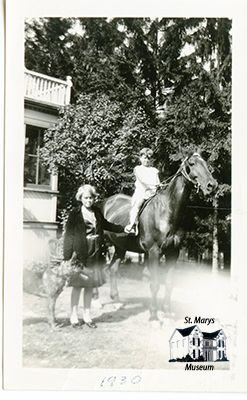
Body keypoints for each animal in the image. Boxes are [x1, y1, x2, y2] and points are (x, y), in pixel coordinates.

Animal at [101, 152, 217, 320]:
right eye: (192, 163)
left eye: (206, 163)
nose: (212, 185)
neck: (166, 211)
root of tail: (106, 202)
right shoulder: (154, 252)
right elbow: (155, 284)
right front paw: (154, 315)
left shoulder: (173, 252)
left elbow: (169, 283)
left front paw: (167, 312)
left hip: (120, 247)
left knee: (112, 269)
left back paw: (117, 301)